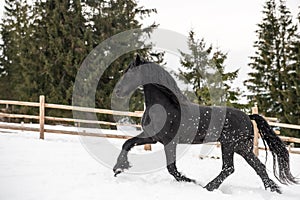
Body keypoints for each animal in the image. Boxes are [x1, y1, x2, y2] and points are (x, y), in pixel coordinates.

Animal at [113, 55, 298, 193]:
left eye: (130, 73)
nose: (117, 92)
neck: (164, 107)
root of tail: (248, 116)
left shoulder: (169, 142)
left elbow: (172, 169)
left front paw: (191, 181)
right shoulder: (152, 137)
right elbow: (127, 143)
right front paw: (118, 169)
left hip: (229, 145)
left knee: (229, 168)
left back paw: (207, 187)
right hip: (242, 148)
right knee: (258, 167)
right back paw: (272, 189)